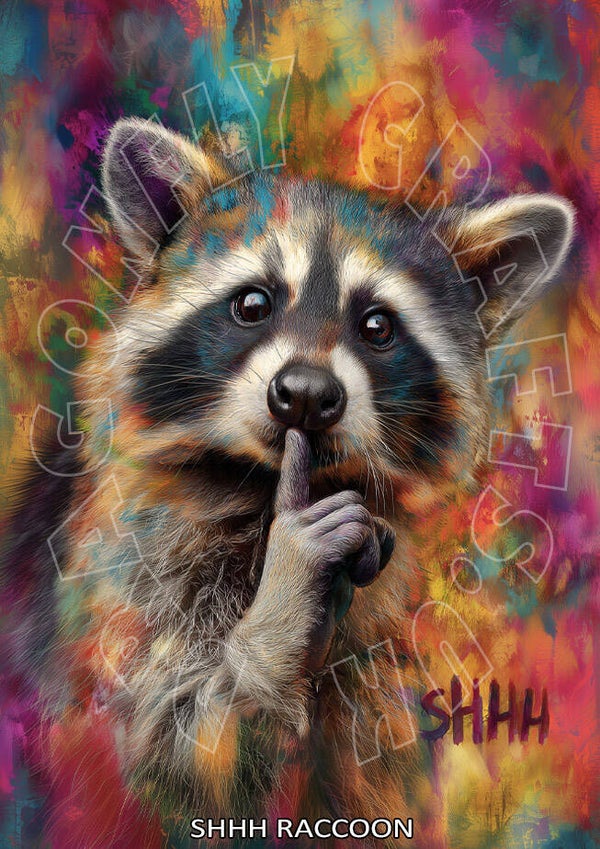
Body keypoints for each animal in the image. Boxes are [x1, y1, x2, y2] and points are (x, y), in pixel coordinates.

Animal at [2, 119, 574, 847]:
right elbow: (167, 748)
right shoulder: (125, 563)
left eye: (378, 325)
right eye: (253, 303)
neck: (254, 481)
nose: (305, 394)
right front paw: (287, 599)